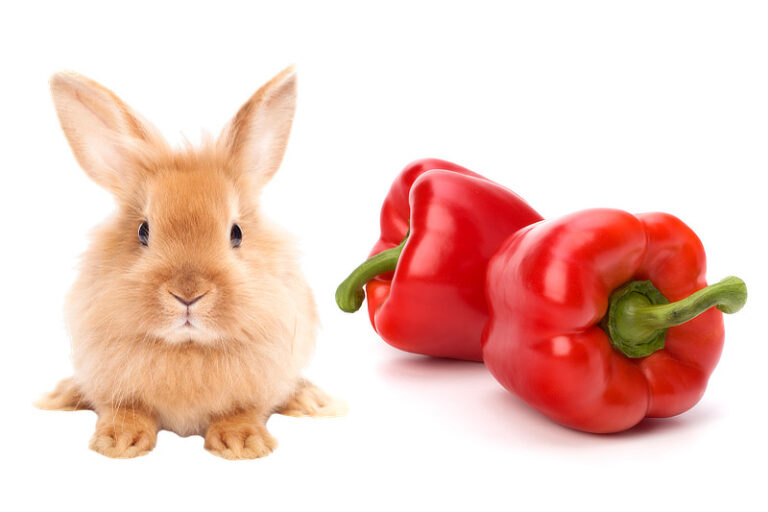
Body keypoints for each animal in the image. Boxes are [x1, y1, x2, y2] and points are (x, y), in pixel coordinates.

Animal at [36, 66, 344, 459]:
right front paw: (118, 442)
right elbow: (126, 409)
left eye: (236, 233)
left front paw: (242, 444)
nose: (187, 294)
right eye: (143, 230)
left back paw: (312, 401)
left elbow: (243, 410)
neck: (187, 348)